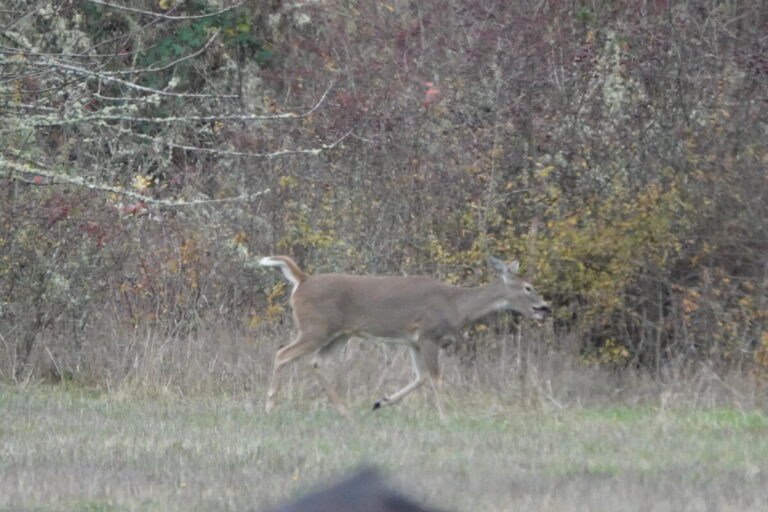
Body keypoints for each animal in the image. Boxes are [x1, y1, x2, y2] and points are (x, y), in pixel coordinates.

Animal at [260, 254, 548, 418]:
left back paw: (345, 411)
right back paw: (270, 407)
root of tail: (302, 280)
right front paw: (446, 417)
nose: (545, 307)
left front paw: (380, 402)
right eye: (528, 287)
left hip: (338, 335)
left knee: (316, 363)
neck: (457, 306)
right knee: (282, 354)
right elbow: (436, 379)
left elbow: (421, 377)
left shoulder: (414, 342)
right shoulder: (429, 336)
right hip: (315, 328)